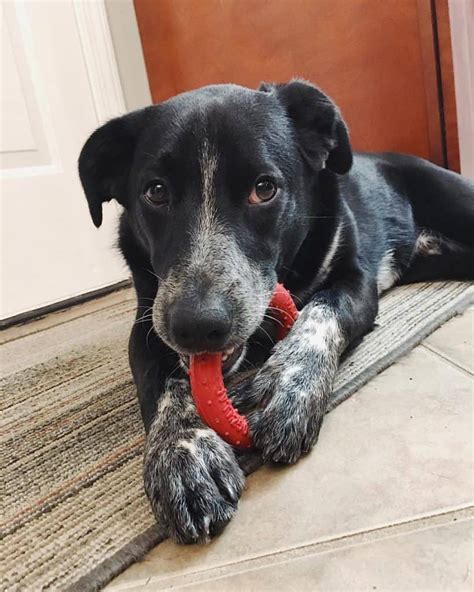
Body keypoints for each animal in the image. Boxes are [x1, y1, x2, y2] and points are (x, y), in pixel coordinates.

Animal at [78, 81, 474, 544]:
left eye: (264, 188)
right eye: (155, 192)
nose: (197, 326)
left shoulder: (355, 281)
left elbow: (320, 313)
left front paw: (284, 386)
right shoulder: (149, 318)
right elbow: (159, 381)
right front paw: (185, 453)